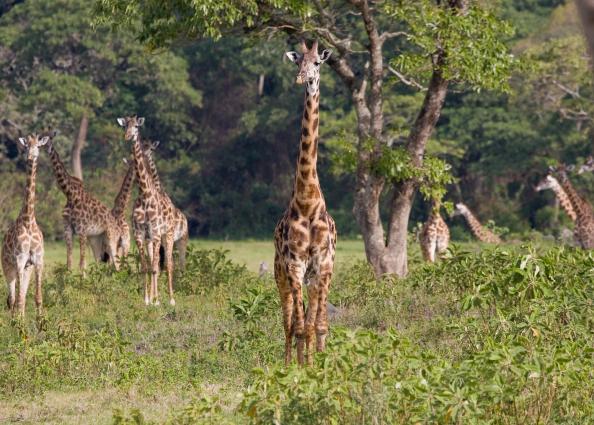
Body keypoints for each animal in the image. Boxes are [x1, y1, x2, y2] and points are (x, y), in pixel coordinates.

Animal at [1, 134, 48, 316]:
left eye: (38, 146)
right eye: (26, 145)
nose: (30, 156)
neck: (28, 220)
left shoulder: (38, 261)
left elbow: (38, 298)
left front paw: (41, 323)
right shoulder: (19, 260)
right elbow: (18, 301)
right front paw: (20, 325)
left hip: (27, 269)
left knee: (19, 298)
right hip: (8, 267)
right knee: (12, 299)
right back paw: (15, 321)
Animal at [42, 131, 120, 274]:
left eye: (48, 138)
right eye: (40, 137)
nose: (46, 148)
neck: (69, 194)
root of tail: (117, 225)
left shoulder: (82, 230)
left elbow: (82, 263)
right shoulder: (67, 229)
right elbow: (69, 262)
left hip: (111, 237)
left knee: (116, 263)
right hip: (96, 239)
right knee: (101, 261)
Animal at [117, 117, 177, 306]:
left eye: (136, 126)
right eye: (125, 125)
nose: (127, 136)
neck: (144, 193)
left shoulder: (156, 233)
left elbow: (156, 266)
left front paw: (156, 301)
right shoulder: (139, 234)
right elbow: (145, 267)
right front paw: (146, 300)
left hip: (168, 234)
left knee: (168, 263)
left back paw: (171, 299)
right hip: (151, 239)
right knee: (154, 263)